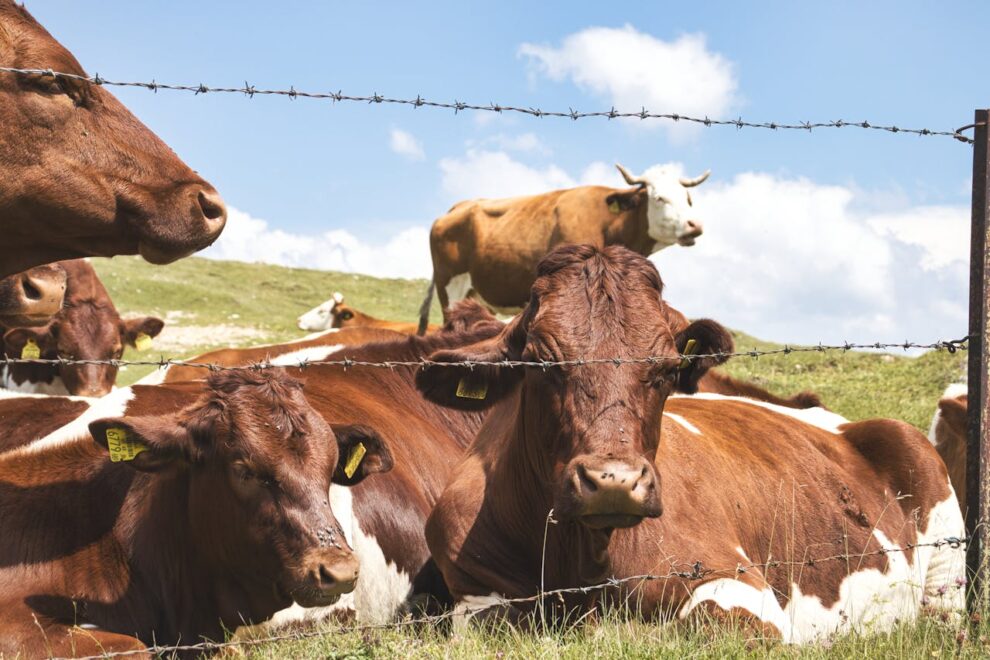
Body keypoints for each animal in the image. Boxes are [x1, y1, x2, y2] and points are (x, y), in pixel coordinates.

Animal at [414, 242, 964, 640]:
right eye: (541, 362)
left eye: (664, 369)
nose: (614, 482)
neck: (584, 562)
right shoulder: (477, 597)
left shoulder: (737, 585)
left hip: (944, 566)